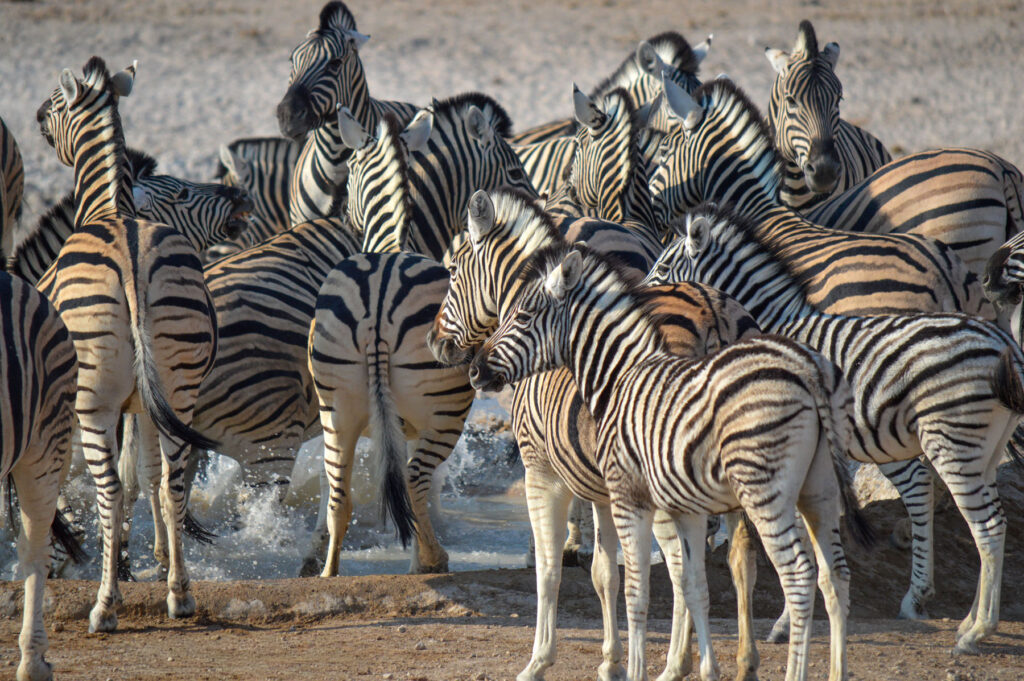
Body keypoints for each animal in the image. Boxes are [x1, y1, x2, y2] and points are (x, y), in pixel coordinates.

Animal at [36, 57, 219, 632]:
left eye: (55, 104)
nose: (36, 119)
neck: (109, 207)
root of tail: (131, 258)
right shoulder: (146, 403)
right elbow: (150, 476)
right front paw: (159, 564)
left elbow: (115, 483)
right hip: (180, 390)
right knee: (176, 480)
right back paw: (181, 595)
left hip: (92, 401)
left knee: (107, 488)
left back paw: (104, 605)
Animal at [428, 188, 763, 681]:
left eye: (452, 271)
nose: (435, 344)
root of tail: (714, 311)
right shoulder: (601, 486)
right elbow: (605, 571)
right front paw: (610, 660)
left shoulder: (542, 472)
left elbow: (550, 569)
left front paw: (540, 660)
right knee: (739, 560)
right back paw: (741, 661)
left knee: (681, 567)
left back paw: (675, 664)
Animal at [470, 244, 863, 681]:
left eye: (522, 317)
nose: (474, 370)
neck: (620, 377)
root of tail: (807, 369)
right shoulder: (673, 505)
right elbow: (688, 584)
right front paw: (700, 667)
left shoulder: (597, 489)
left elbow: (618, 584)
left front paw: (561, 662)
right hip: (818, 488)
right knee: (834, 575)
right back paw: (829, 669)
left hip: (765, 491)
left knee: (798, 576)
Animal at [647, 204, 1024, 653]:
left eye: (663, 268)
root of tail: (1001, 341)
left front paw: (785, 621)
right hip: (981, 447)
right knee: (989, 520)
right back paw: (959, 614)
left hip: (949, 440)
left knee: (985, 525)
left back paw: (974, 630)